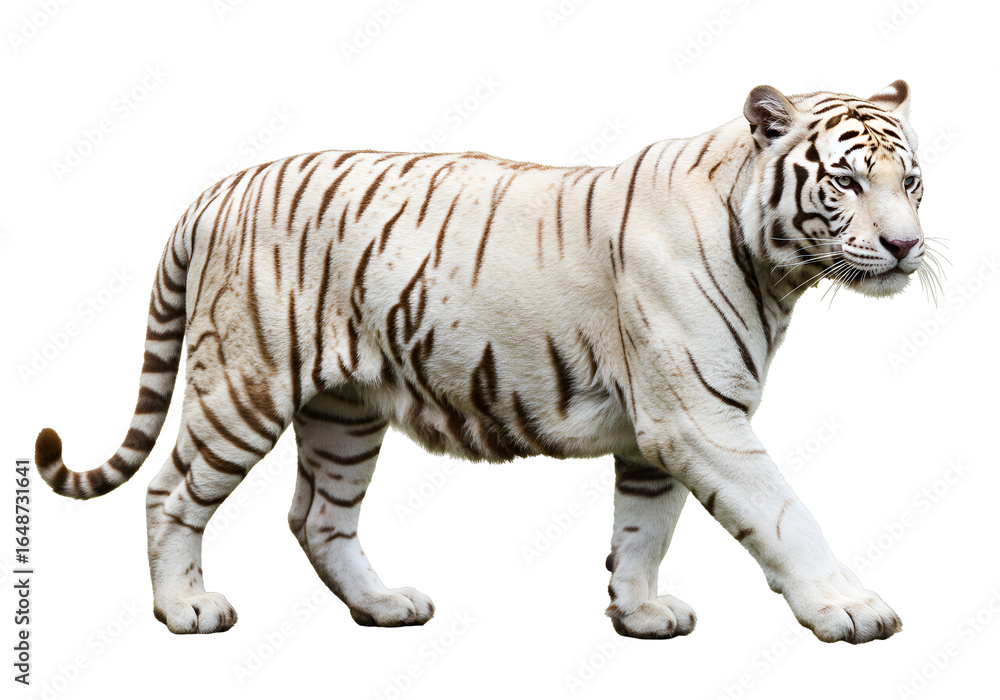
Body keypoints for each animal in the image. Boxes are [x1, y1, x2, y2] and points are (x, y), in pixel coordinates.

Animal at [34, 80, 934, 643]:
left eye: (913, 182)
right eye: (848, 181)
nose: (906, 247)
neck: (779, 269)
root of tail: (217, 190)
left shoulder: (661, 431)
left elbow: (645, 528)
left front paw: (638, 614)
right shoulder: (698, 418)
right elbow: (784, 515)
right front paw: (852, 610)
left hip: (345, 413)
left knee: (317, 517)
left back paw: (384, 604)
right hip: (241, 387)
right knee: (169, 492)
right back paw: (186, 610)